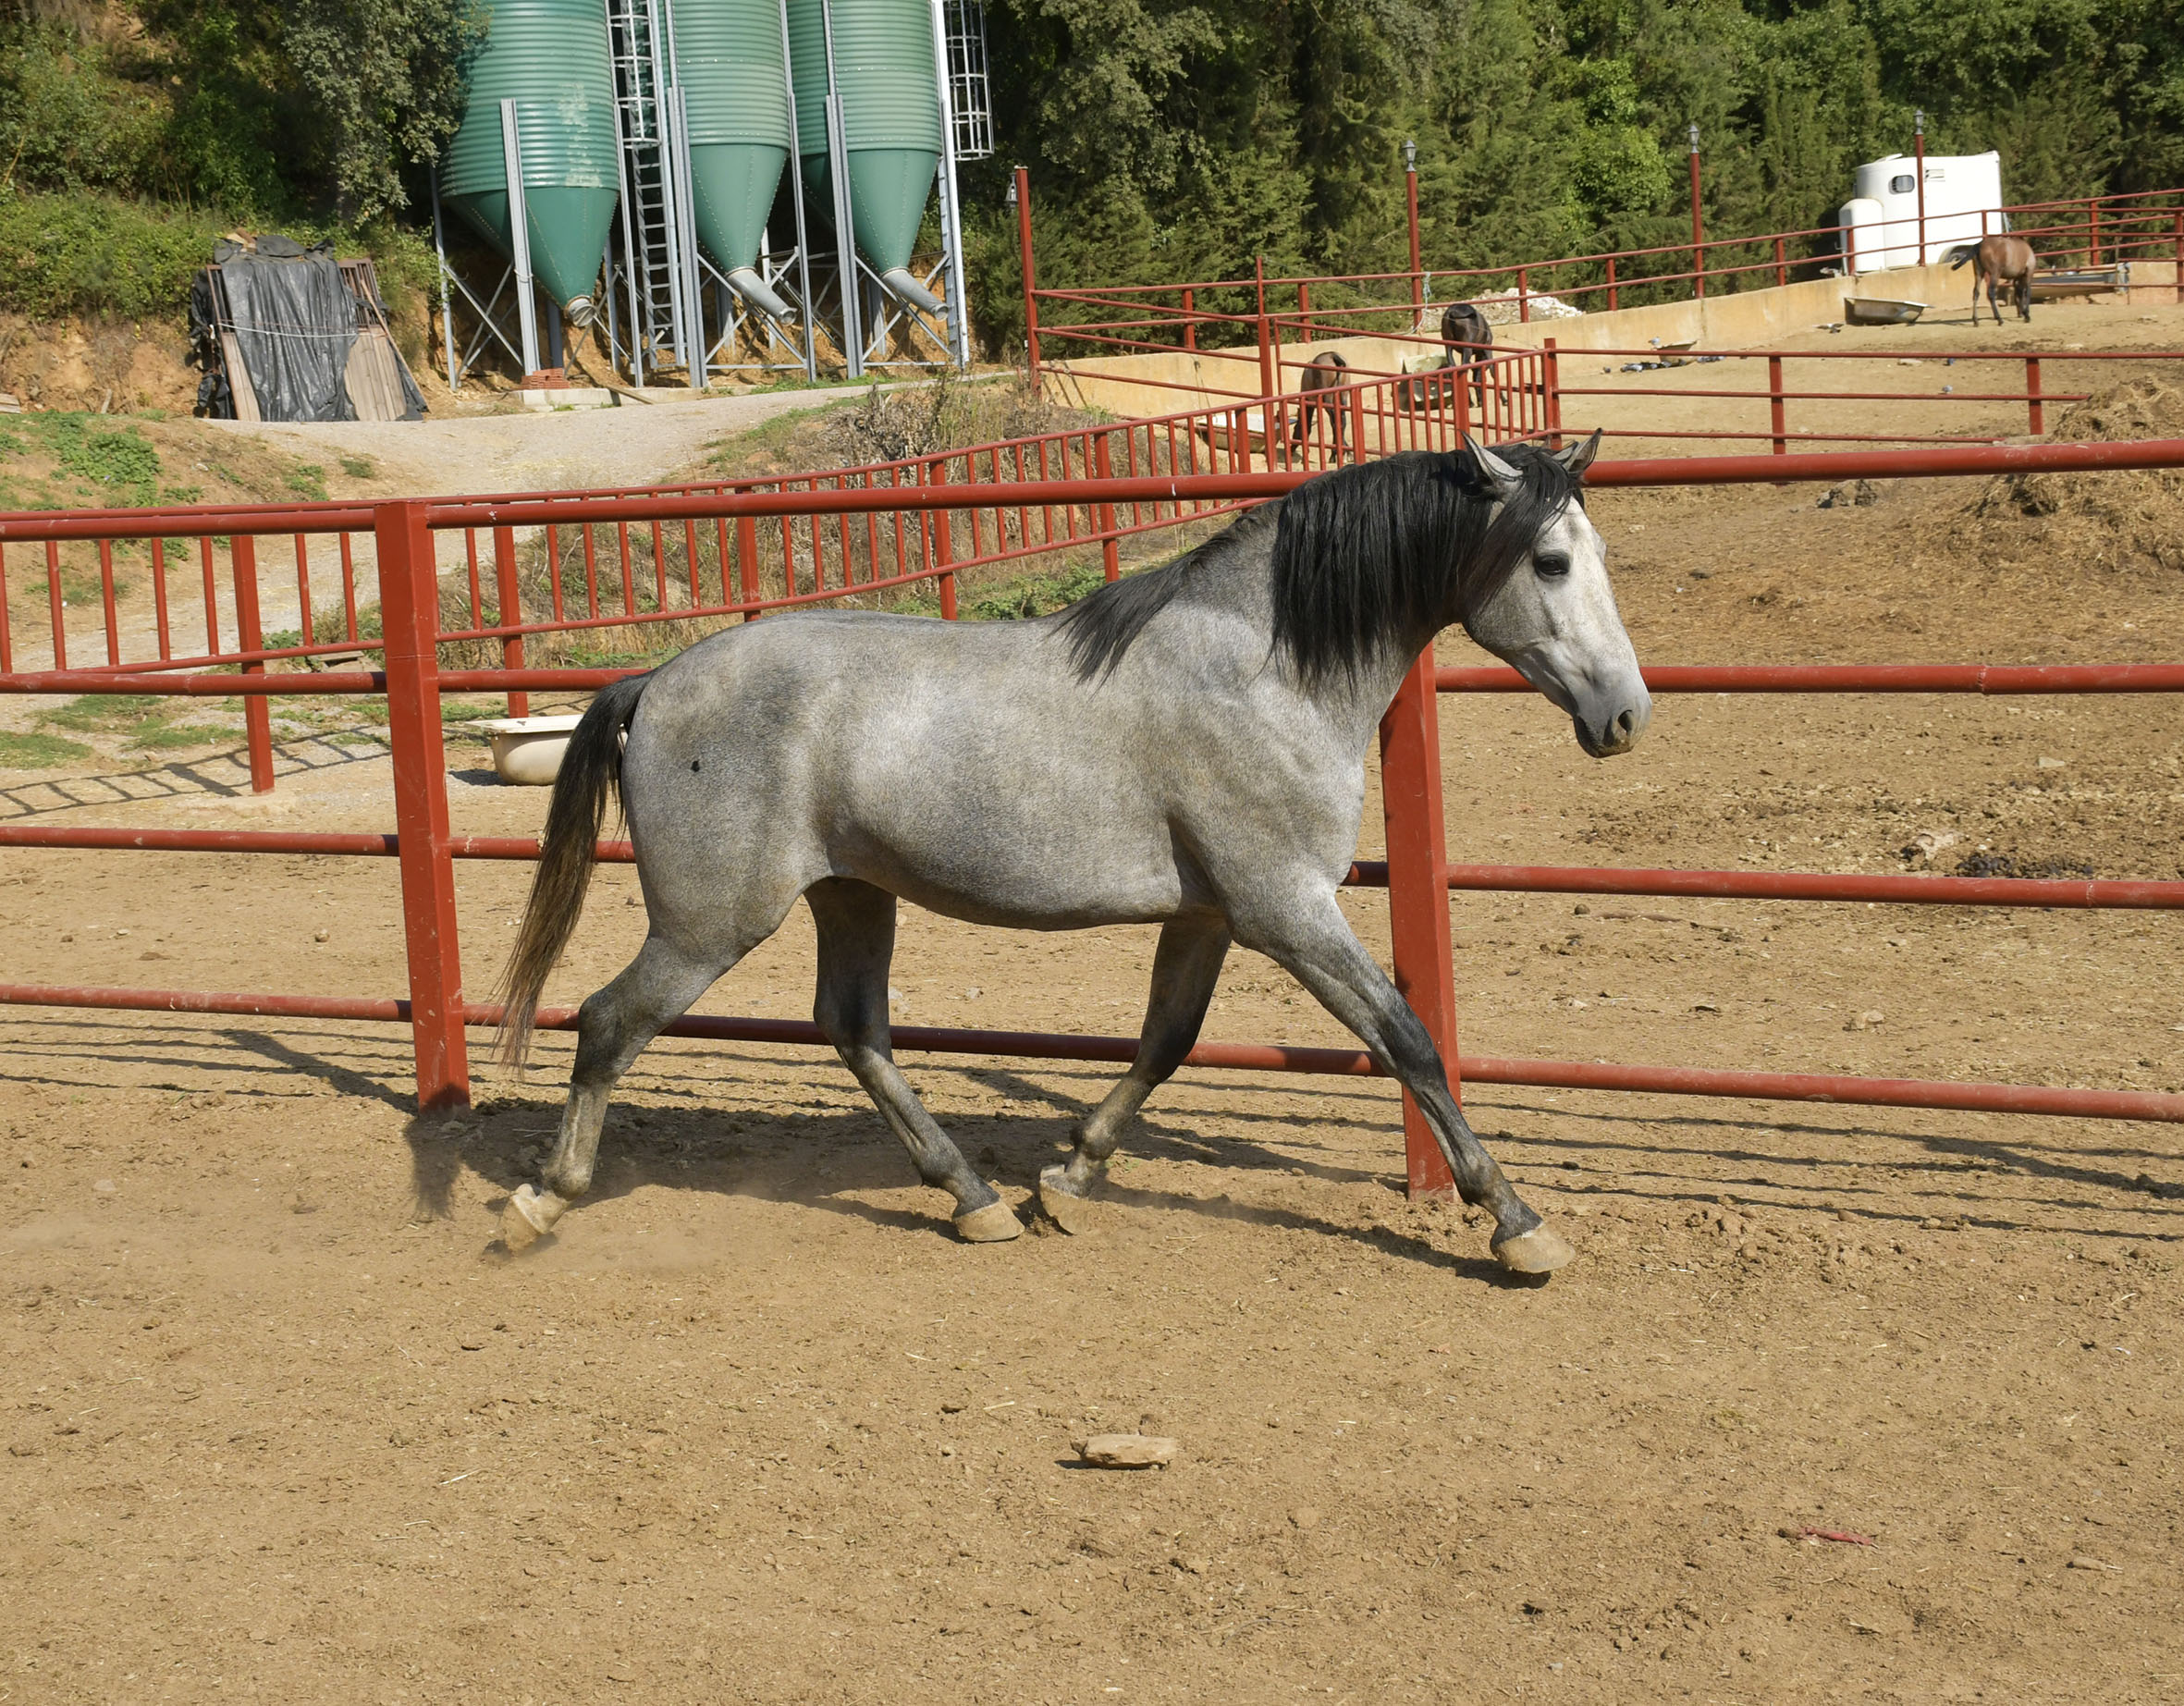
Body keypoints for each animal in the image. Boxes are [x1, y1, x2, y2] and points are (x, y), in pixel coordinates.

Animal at [499, 432, 1650, 1267]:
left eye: (1599, 556)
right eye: (1550, 560)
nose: (1625, 716)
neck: (1263, 672)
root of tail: (654, 684)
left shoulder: (1208, 916)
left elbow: (1166, 1042)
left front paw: (1068, 1179)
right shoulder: (1288, 909)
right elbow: (1407, 1040)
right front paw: (1517, 1222)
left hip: (851, 895)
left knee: (854, 1031)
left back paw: (975, 1201)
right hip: (711, 921)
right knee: (609, 1022)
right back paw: (538, 1204)